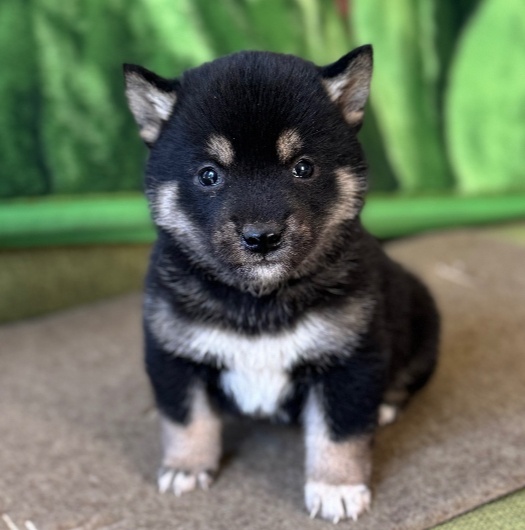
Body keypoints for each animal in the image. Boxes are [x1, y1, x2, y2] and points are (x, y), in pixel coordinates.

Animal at [123, 45, 440, 523]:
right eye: (209, 175)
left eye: (303, 168)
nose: (262, 237)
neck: (259, 299)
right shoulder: (173, 353)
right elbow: (187, 418)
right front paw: (186, 467)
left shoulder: (349, 360)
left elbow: (339, 432)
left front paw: (336, 487)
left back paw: (386, 403)